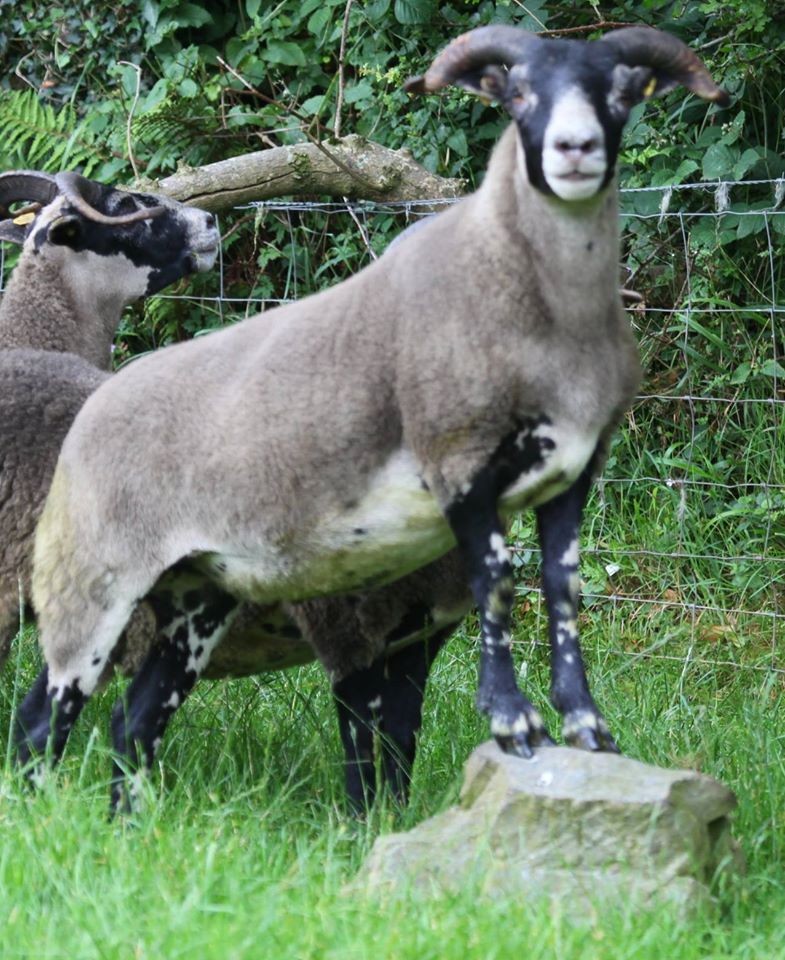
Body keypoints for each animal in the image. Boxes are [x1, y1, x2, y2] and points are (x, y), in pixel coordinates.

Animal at [15, 25, 727, 811]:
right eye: (516, 94)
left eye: (622, 92)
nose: (574, 150)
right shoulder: (361, 619)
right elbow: (374, 748)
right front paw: (507, 733)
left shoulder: (457, 592)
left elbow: (542, 605)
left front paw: (583, 734)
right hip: (91, 575)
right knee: (44, 717)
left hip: (193, 599)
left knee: (131, 722)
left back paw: (127, 827)